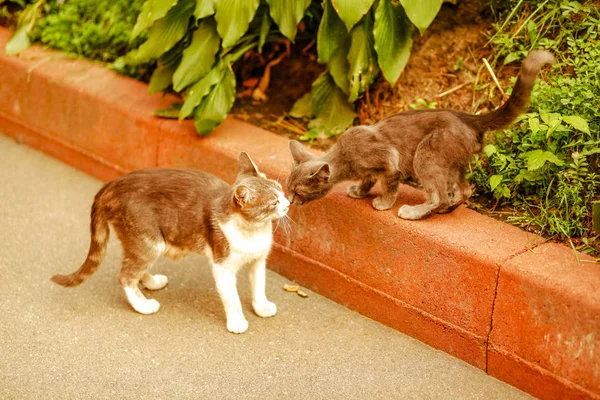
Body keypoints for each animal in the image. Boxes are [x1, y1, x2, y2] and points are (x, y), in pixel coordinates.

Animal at [50, 153, 290, 334]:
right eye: (273, 202)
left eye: (281, 189)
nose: (288, 203)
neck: (253, 232)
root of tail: (111, 185)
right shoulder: (222, 266)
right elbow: (232, 298)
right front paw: (237, 321)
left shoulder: (258, 260)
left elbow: (259, 286)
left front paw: (261, 307)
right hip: (148, 240)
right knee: (126, 275)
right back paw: (143, 305)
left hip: (144, 242)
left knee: (134, 267)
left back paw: (152, 282)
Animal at [288, 50, 556, 220]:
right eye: (288, 188)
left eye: (298, 192)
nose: (289, 202)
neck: (345, 159)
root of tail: (467, 117)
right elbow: (368, 179)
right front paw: (360, 191)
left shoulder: (389, 158)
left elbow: (389, 183)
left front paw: (383, 203)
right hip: (453, 164)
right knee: (463, 191)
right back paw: (445, 209)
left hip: (427, 155)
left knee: (440, 196)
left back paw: (414, 212)